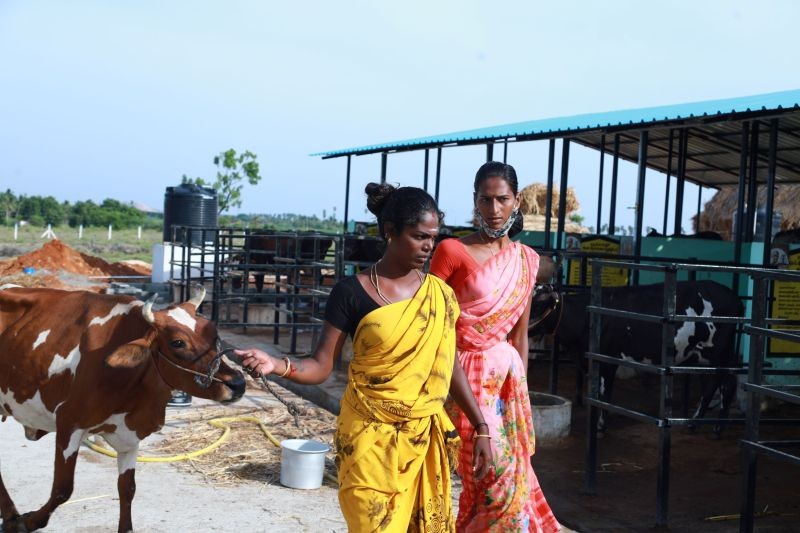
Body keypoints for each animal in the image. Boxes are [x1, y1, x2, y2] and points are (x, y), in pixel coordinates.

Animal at [0, 286, 244, 532]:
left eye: (214, 334)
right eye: (177, 343)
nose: (238, 383)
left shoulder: (130, 435)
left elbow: (127, 489)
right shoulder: (69, 422)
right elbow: (62, 489)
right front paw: (28, 522)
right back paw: (12, 516)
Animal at [532, 278, 744, 432]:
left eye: (539, 304)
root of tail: (734, 297)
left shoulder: (608, 360)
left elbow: (603, 394)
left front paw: (600, 425)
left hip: (716, 352)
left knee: (721, 383)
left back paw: (709, 426)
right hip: (703, 356)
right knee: (716, 383)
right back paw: (704, 424)